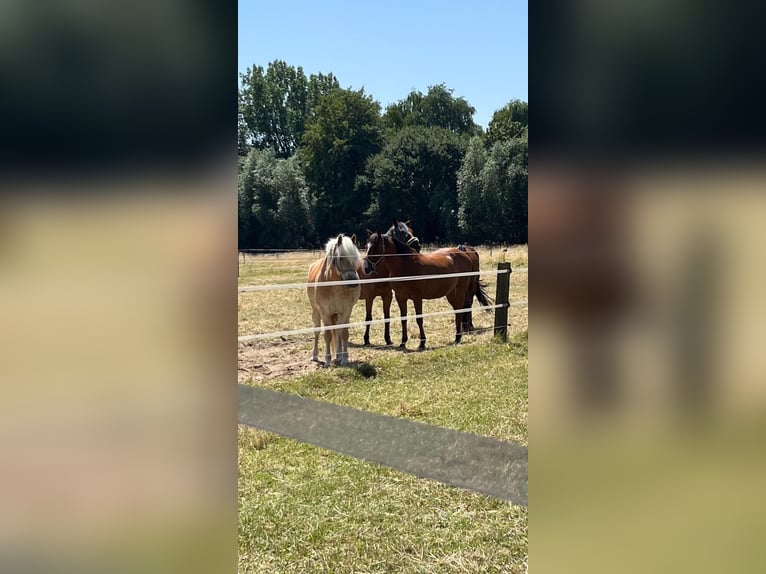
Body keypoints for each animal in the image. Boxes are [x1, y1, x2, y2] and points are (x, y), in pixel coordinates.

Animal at [308, 235, 362, 366]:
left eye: (355, 258)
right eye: (341, 258)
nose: (354, 282)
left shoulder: (346, 311)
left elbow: (344, 333)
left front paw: (345, 358)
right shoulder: (325, 312)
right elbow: (327, 335)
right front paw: (327, 360)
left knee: (337, 330)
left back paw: (338, 354)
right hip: (316, 311)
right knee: (317, 331)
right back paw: (315, 355)